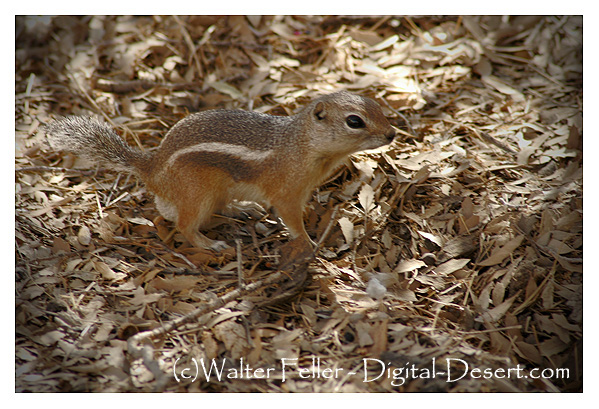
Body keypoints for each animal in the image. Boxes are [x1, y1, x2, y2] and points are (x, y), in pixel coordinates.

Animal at [44, 91, 396, 252]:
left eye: (377, 106)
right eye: (354, 121)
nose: (392, 134)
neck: (300, 144)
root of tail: (152, 167)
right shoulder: (285, 193)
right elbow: (292, 220)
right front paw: (308, 242)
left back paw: (242, 210)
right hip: (198, 193)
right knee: (183, 225)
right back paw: (208, 244)